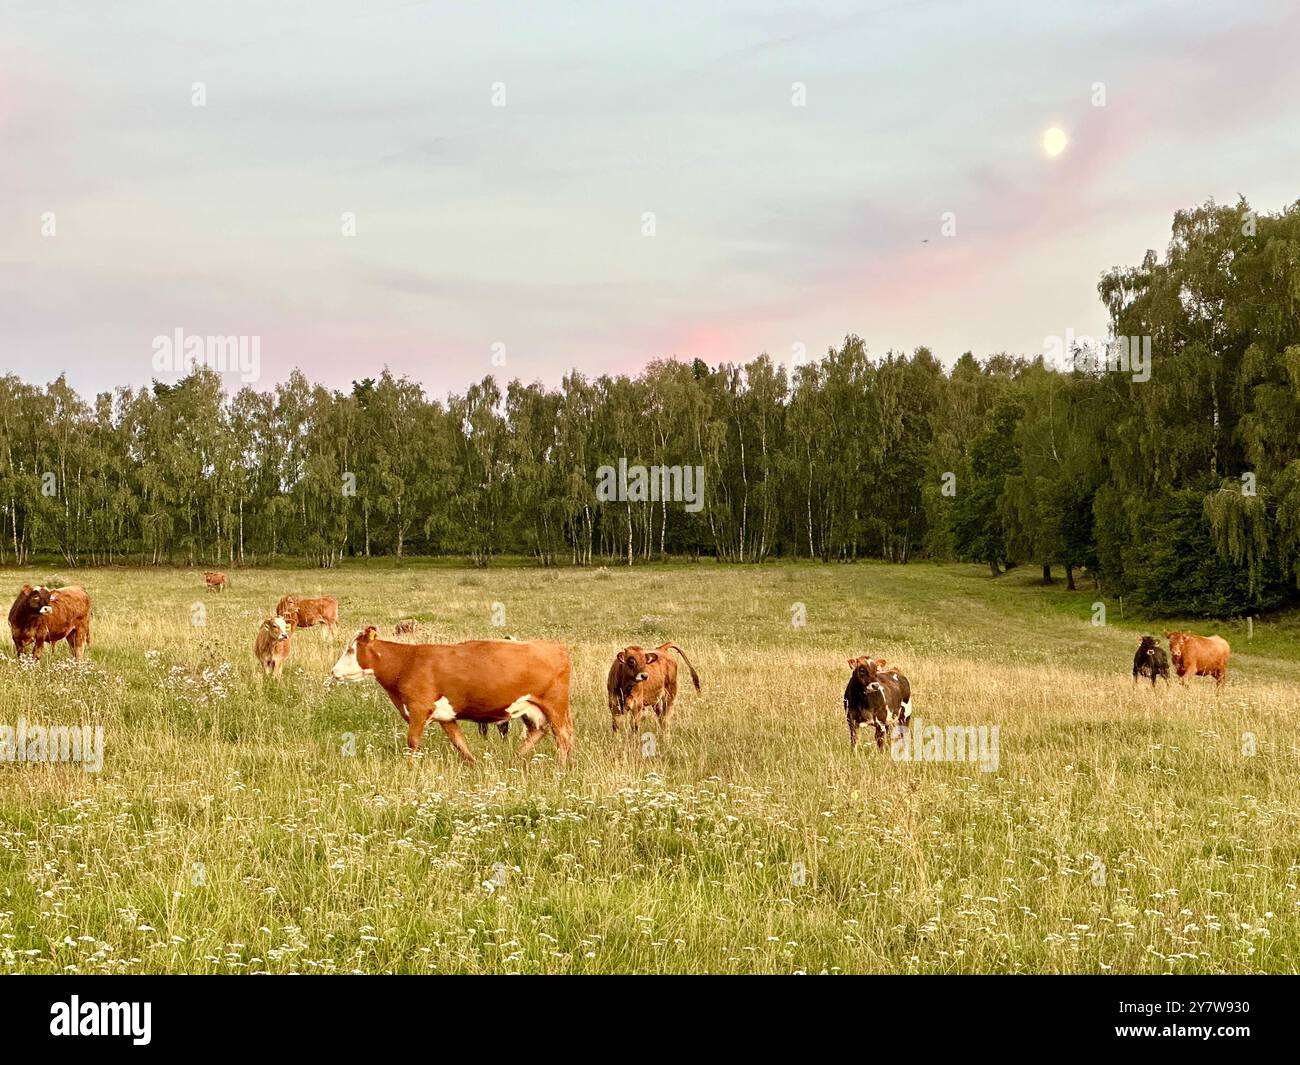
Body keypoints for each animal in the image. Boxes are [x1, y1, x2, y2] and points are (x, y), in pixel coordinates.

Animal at [327, 624, 572, 764]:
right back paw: (514, 758)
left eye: (350, 649)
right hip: (530, 708)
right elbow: (460, 743)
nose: (333, 671)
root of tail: (554, 645)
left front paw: (409, 768)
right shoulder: (446, 716)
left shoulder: (418, 709)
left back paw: (561, 766)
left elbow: (412, 742)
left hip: (555, 706)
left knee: (563, 736)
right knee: (538, 732)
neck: (406, 662)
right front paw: (474, 764)